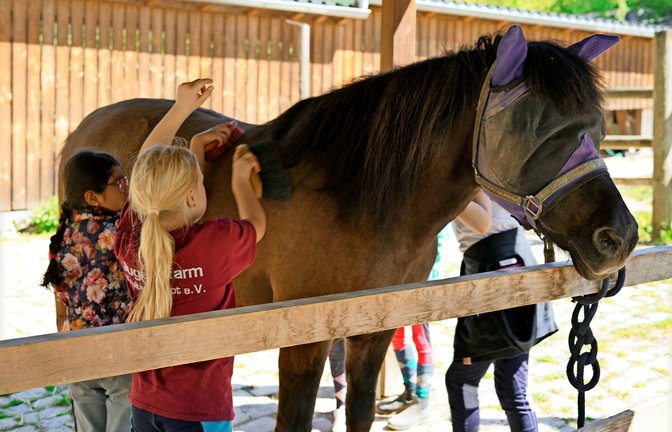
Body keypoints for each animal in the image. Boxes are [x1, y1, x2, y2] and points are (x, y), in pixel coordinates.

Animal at [59, 25, 637, 431]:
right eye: (532, 129)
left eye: (596, 125)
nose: (619, 237)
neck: (359, 200)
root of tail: (87, 126)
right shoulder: (303, 340)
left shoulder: (375, 329)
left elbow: (359, 410)